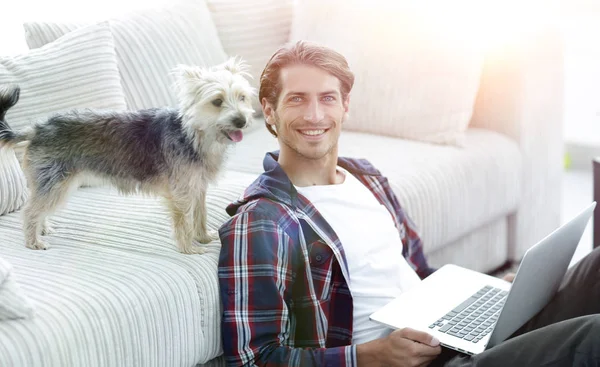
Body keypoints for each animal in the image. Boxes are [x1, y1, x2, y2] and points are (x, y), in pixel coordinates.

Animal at [0, 57, 255, 256]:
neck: (193, 134)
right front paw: (189, 248)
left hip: (52, 184)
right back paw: (33, 241)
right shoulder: (181, 193)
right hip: (56, 183)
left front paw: (203, 237)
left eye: (242, 97)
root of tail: (37, 128)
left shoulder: (198, 187)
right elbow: (184, 221)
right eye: (217, 102)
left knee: (38, 206)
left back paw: (42, 228)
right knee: (30, 211)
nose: (242, 120)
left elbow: (200, 214)